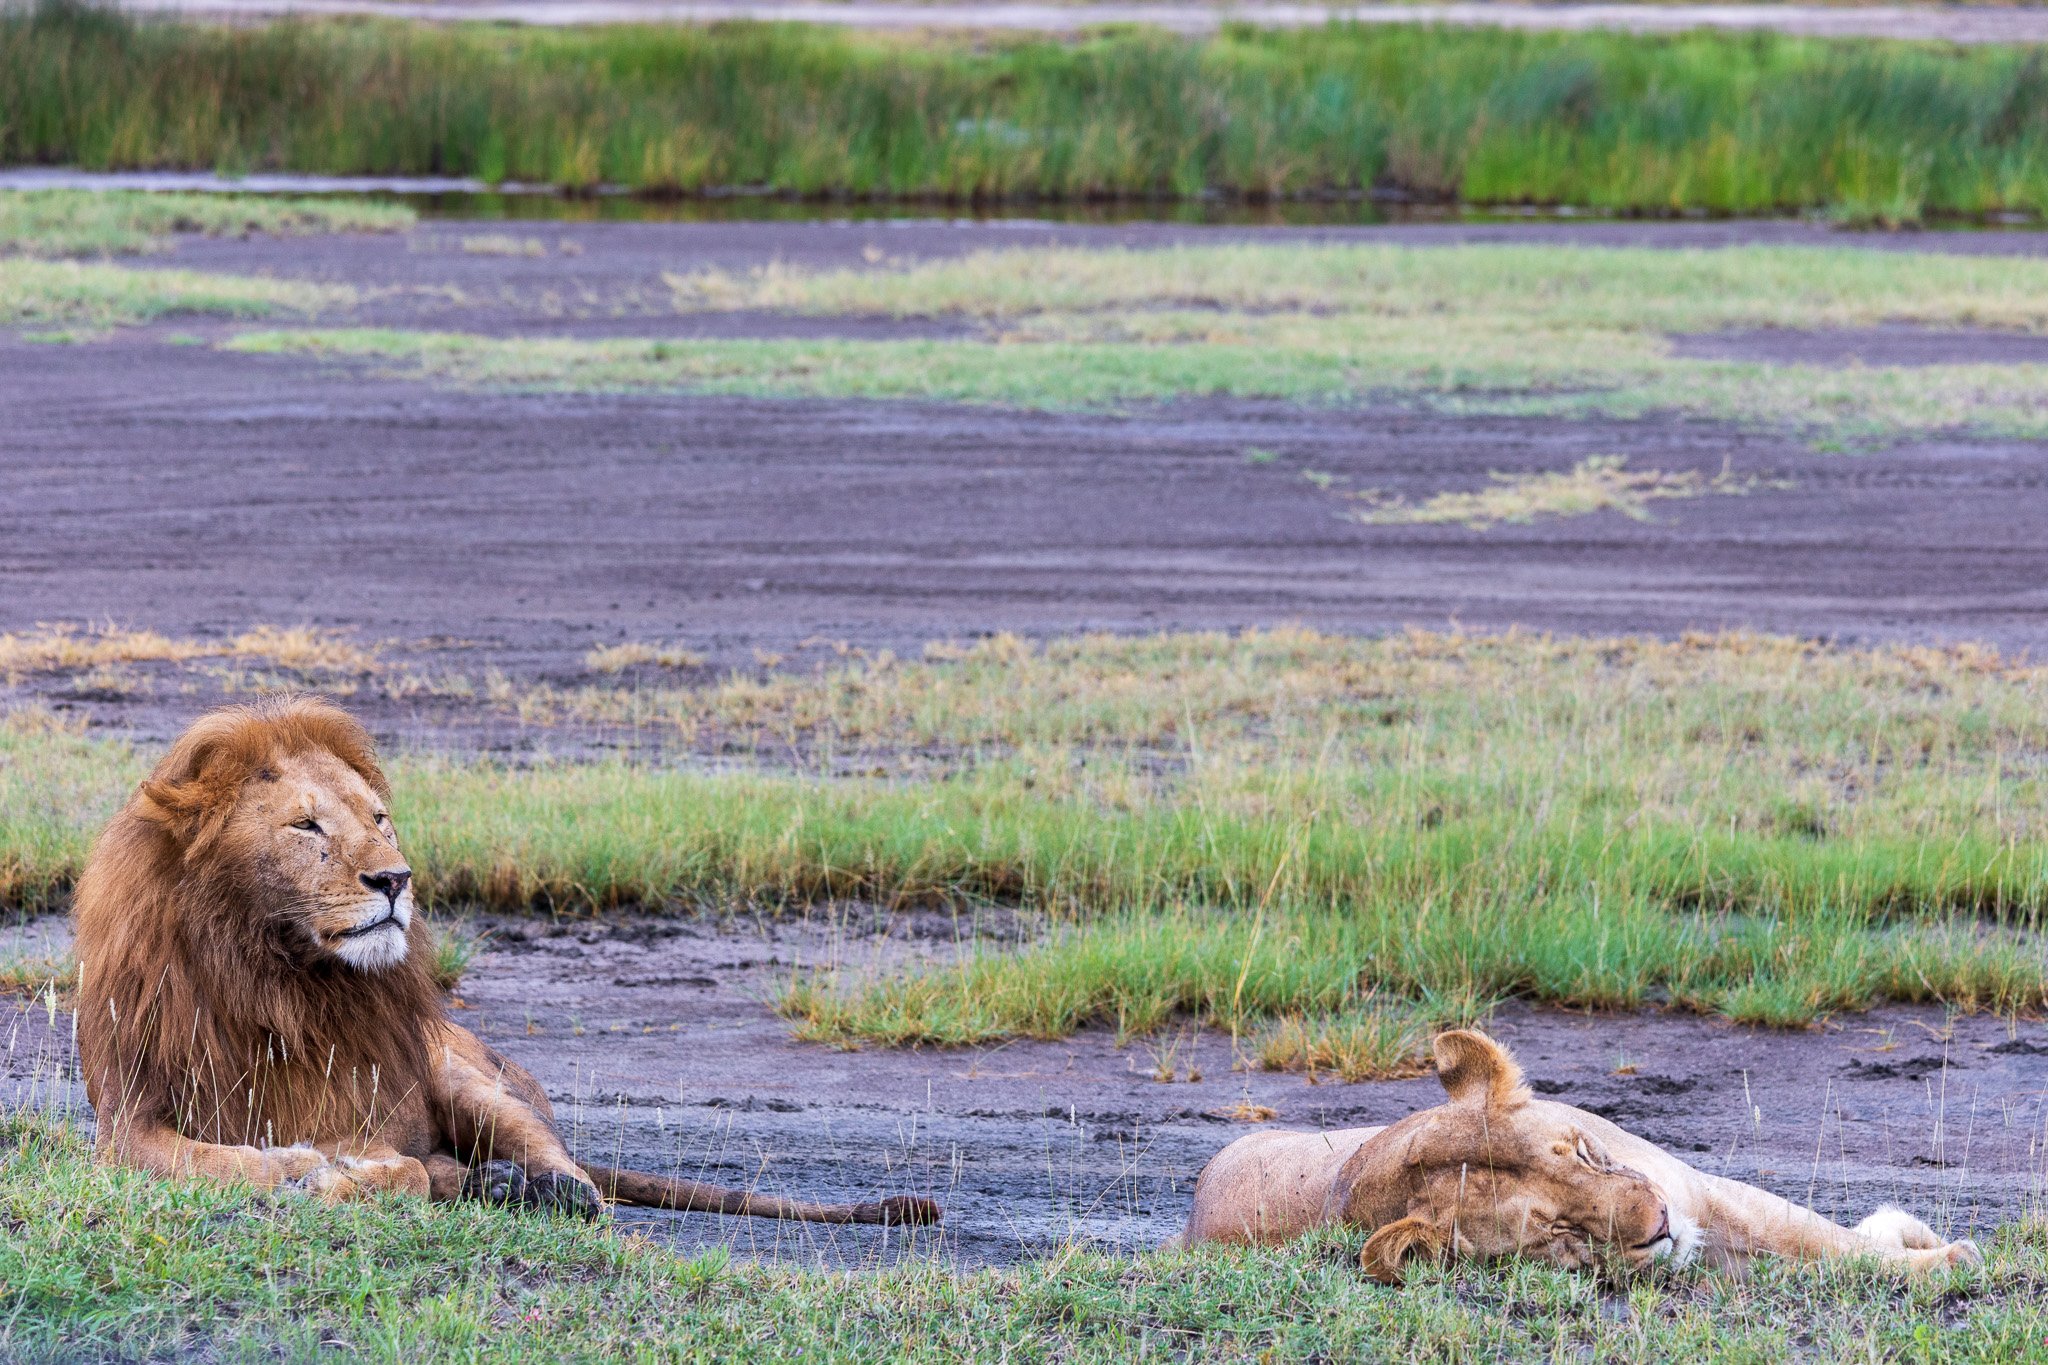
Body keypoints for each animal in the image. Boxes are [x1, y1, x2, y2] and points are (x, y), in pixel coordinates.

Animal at [74, 695, 942, 1227]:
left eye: (379, 818)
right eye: (305, 825)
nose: (396, 878)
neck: (274, 976)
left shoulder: (371, 1112)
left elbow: (397, 1166)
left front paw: (331, 1173)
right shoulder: (126, 1124)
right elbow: (220, 1163)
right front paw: (296, 1167)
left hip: (468, 1075)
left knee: (578, 1179)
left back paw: (538, 1189)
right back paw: (493, 1185)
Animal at [1179, 1035, 1974, 1285]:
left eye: (1586, 1153)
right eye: (1556, 1230)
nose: (1660, 1223)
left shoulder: (1702, 1190)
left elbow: (1819, 1238)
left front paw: (1923, 1244)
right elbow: (1829, 1251)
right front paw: (1944, 1258)